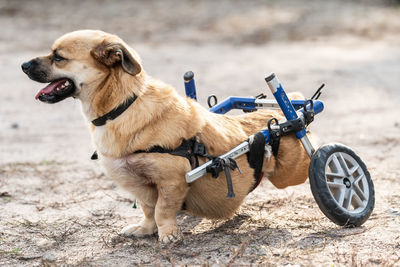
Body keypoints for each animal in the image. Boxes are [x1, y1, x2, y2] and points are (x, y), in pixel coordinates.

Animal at [21, 30, 310, 244]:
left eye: (58, 57)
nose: (22, 65)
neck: (122, 106)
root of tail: (277, 118)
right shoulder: (139, 184)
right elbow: (149, 209)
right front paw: (146, 229)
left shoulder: (171, 181)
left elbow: (162, 210)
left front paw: (168, 234)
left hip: (292, 172)